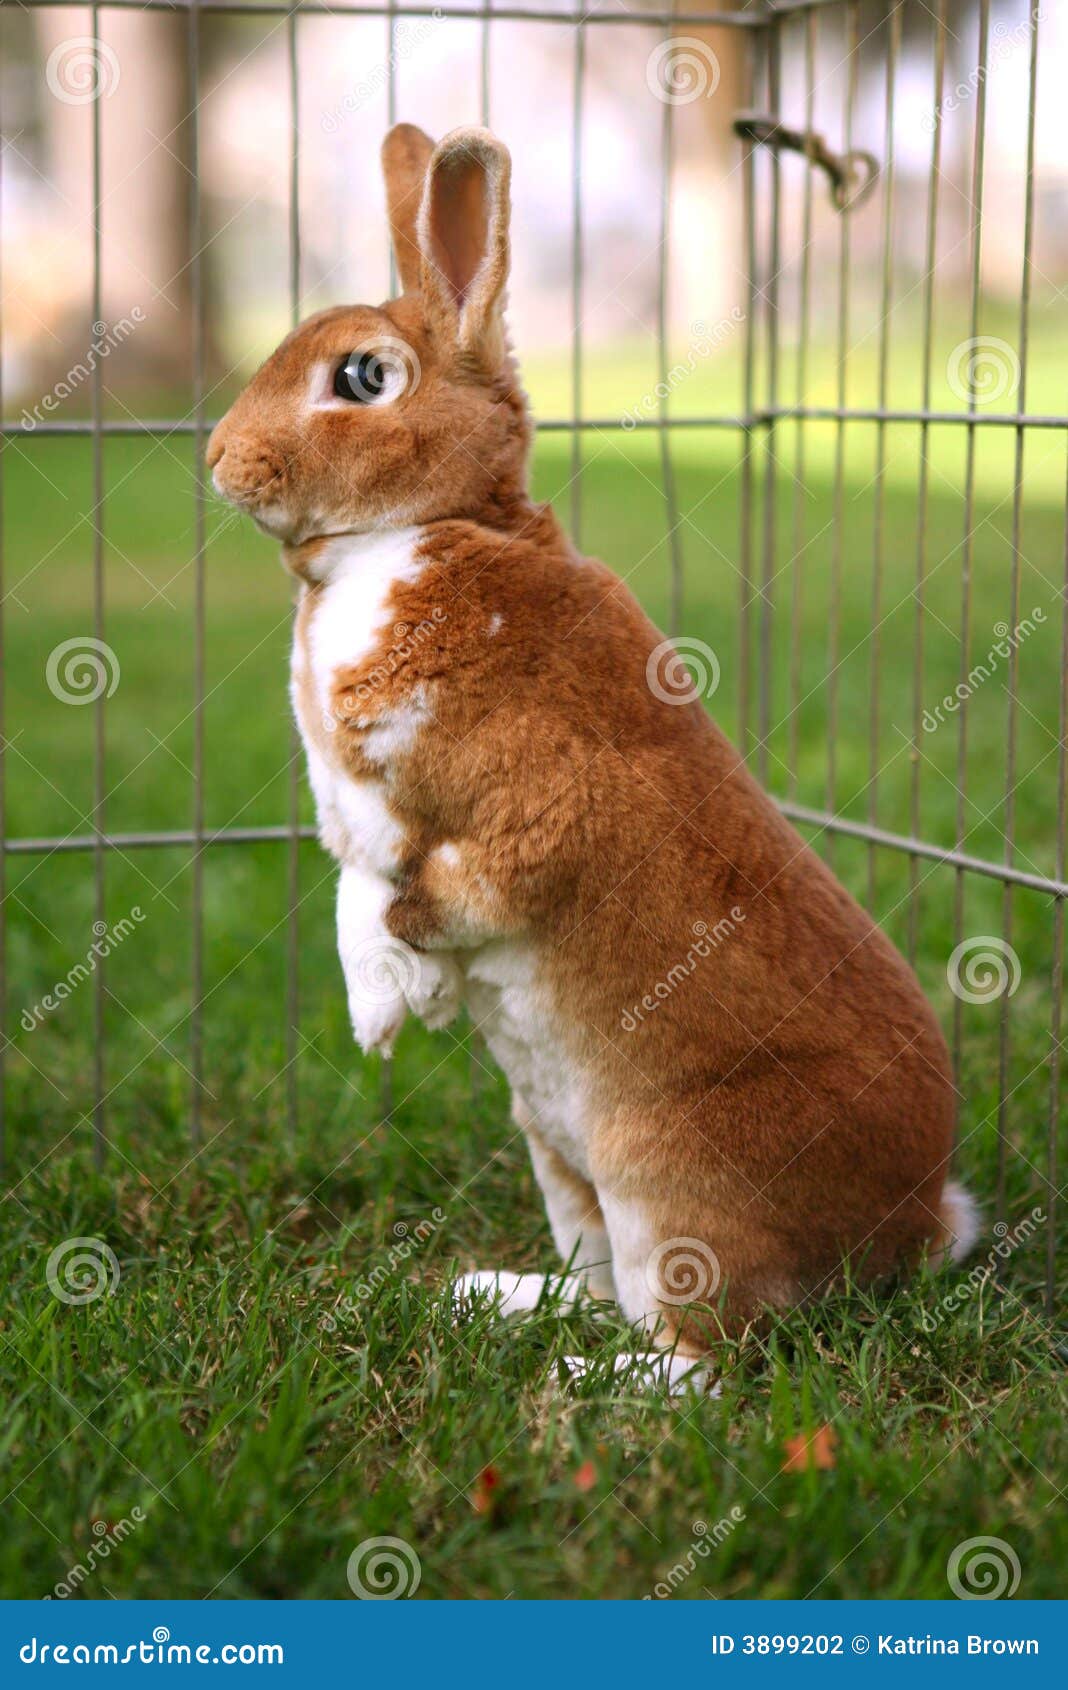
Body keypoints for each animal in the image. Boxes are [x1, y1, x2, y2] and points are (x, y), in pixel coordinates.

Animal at [207, 122, 978, 1390]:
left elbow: (403, 895)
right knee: (596, 1286)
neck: (421, 533)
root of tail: (910, 1227)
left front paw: (399, 1006)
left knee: (696, 1357)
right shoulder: (361, 829)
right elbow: (354, 897)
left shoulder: (526, 811)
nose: (220, 459)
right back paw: (494, 1299)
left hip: (679, 1184)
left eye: (363, 377)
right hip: (563, 1164)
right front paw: (386, 1016)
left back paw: (583, 1387)